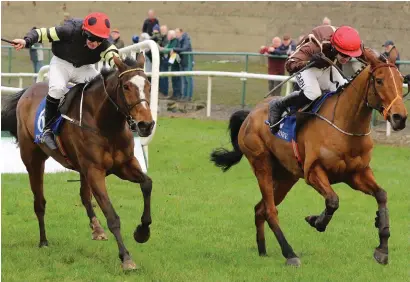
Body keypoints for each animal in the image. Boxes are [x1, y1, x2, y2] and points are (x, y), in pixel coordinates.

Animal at [0, 53, 155, 270]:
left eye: (148, 84)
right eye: (126, 86)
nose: (146, 125)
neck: (106, 124)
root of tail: (27, 91)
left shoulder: (124, 165)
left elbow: (147, 184)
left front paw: (142, 231)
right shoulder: (95, 171)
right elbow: (112, 215)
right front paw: (126, 257)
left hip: (81, 168)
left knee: (84, 196)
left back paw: (96, 228)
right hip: (33, 160)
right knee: (39, 202)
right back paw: (43, 241)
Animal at [211, 48, 406, 266]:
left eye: (401, 79)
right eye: (379, 80)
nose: (400, 117)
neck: (344, 125)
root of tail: (250, 114)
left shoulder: (356, 173)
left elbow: (382, 195)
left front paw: (382, 247)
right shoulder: (313, 172)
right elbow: (333, 200)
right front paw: (317, 221)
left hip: (286, 176)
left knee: (260, 209)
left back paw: (262, 251)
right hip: (261, 164)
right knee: (270, 210)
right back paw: (290, 254)